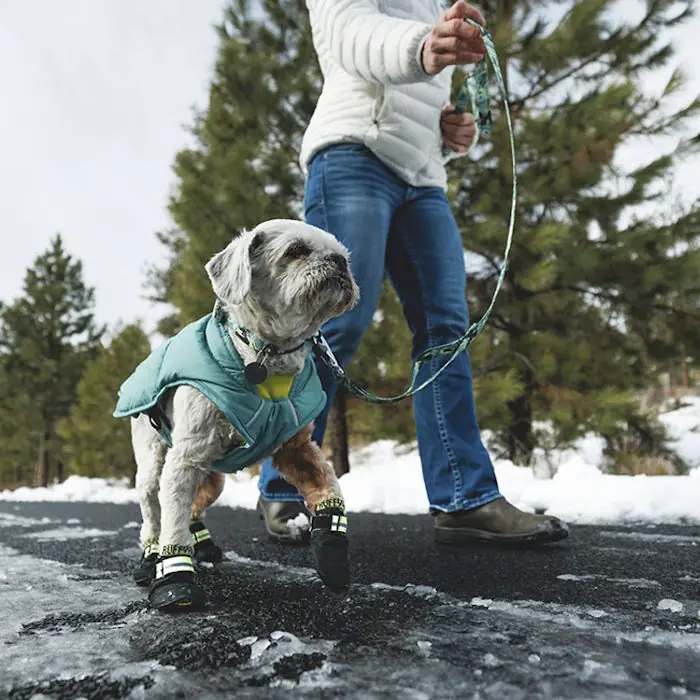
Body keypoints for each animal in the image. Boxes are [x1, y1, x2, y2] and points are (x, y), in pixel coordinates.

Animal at [113, 221, 360, 608]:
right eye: (296, 250)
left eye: (342, 253)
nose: (339, 262)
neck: (266, 357)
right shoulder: (184, 459)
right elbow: (171, 522)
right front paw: (175, 580)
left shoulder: (297, 449)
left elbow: (328, 485)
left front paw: (331, 549)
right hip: (153, 459)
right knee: (154, 511)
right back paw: (151, 557)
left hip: (212, 477)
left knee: (191, 507)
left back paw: (204, 545)